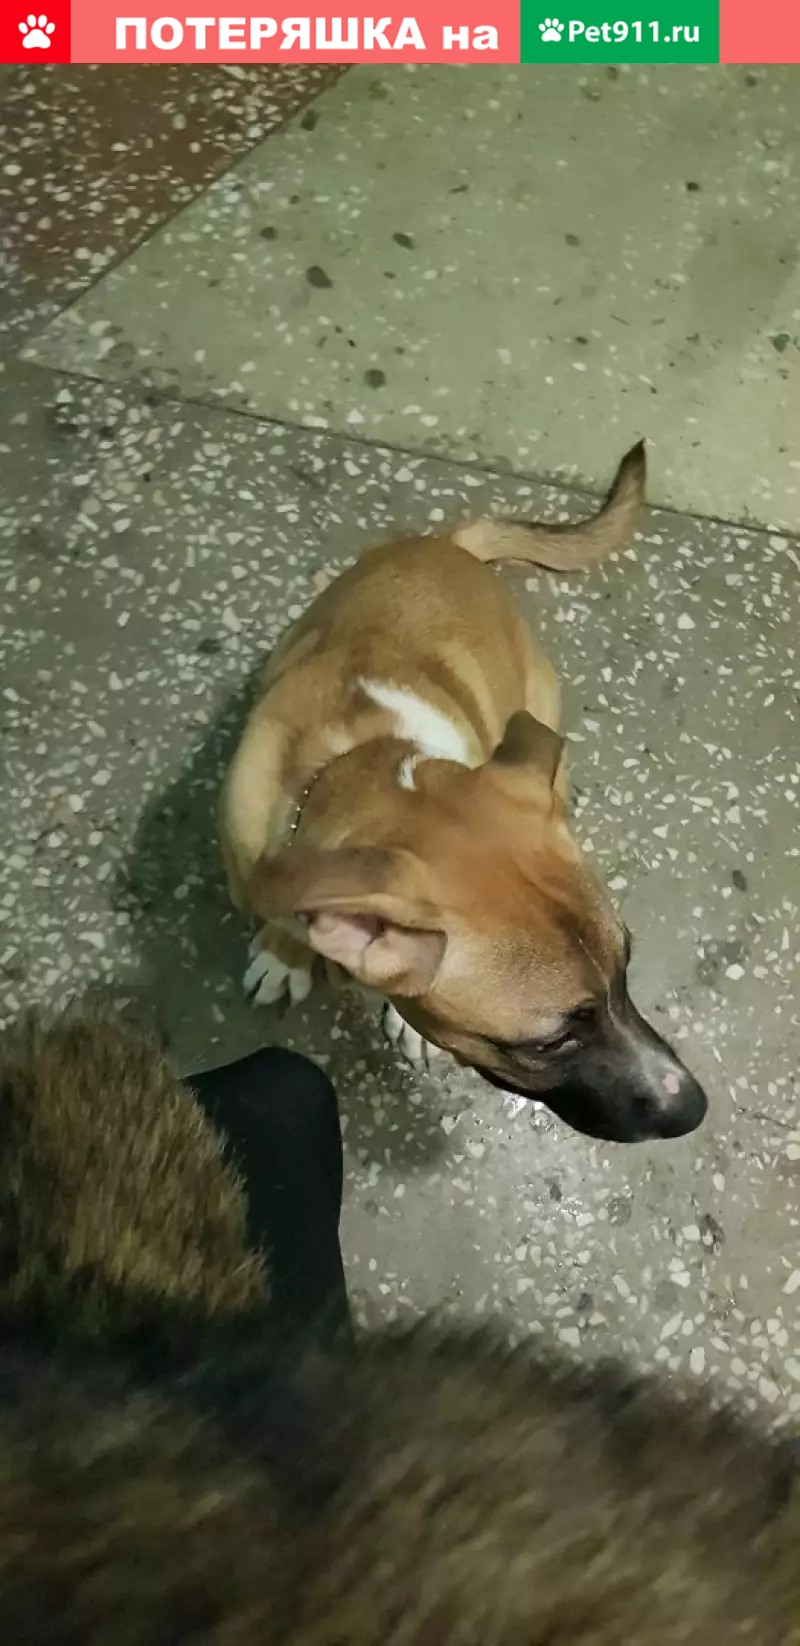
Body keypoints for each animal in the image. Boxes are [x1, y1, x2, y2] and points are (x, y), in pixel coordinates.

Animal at [220, 443, 707, 1143]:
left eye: (626, 968)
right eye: (548, 1043)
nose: (694, 1109)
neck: (364, 755)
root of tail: (449, 544)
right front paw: (286, 951)